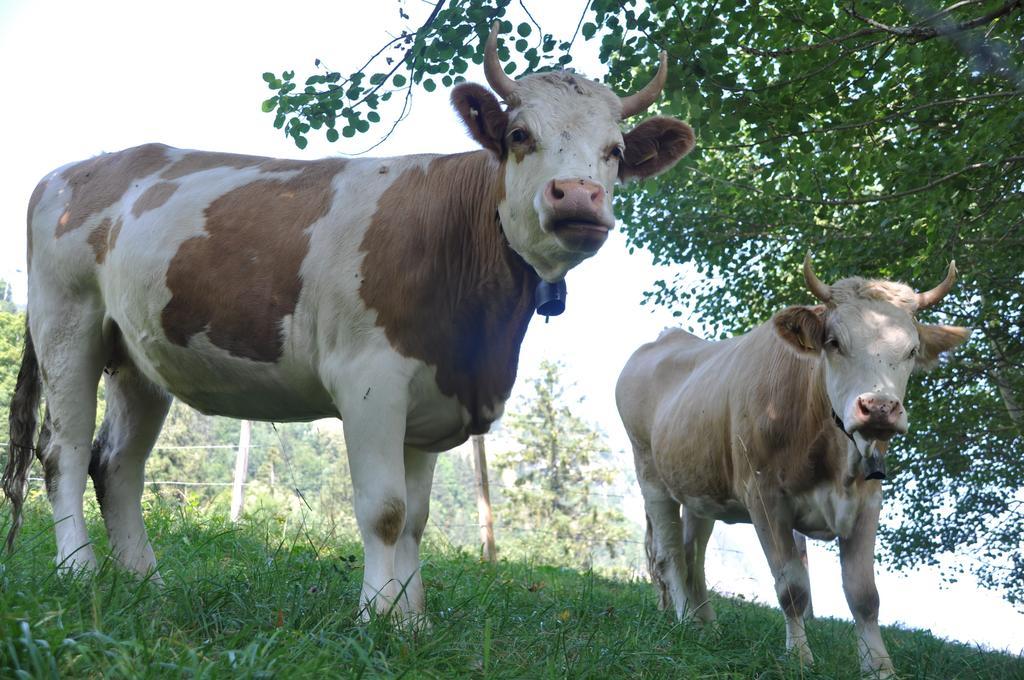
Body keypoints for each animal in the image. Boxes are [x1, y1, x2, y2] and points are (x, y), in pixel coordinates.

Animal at [2, 23, 696, 622]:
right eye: (521, 134)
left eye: (614, 152)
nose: (579, 196)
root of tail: (75, 169)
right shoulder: (371, 379)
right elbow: (384, 510)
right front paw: (376, 617)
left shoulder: (432, 398)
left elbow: (415, 519)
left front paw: (410, 621)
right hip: (68, 325)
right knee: (62, 452)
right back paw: (78, 571)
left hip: (138, 355)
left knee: (117, 464)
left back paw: (146, 582)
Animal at [614, 255, 966, 675]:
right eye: (834, 342)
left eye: (912, 350)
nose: (880, 407)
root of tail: (665, 338)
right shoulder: (765, 497)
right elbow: (792, 588)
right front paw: (799, 658)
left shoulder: (867, 502)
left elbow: (865, 596)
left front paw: (880, 668)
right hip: (650, 475)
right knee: (668, 555)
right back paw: (684, 621)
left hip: (699, 488)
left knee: (691, 556)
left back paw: (706, 628)